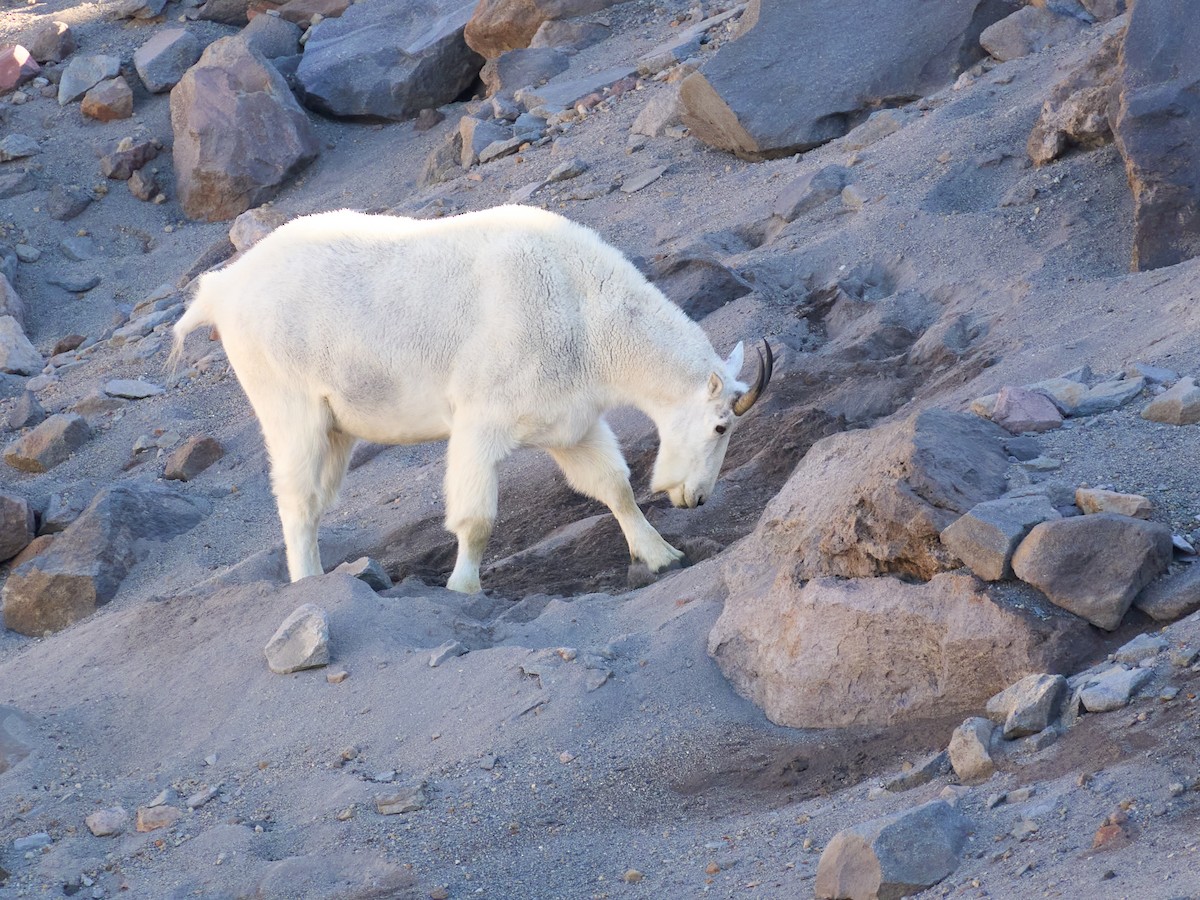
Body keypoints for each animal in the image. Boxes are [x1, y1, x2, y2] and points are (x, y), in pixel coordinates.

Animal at [171, 205, 772, 593]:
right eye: (721, 427)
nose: (696, 498)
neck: (584, 310)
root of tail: (222, 291)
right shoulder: (483, 416)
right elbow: (476, 516)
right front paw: (463, 587)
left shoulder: (570, 419)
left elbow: (614, 487)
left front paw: (663, 555)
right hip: (285, 395)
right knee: (296, 495)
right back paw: (309, 586)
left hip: (336, 419)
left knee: (317, 494)